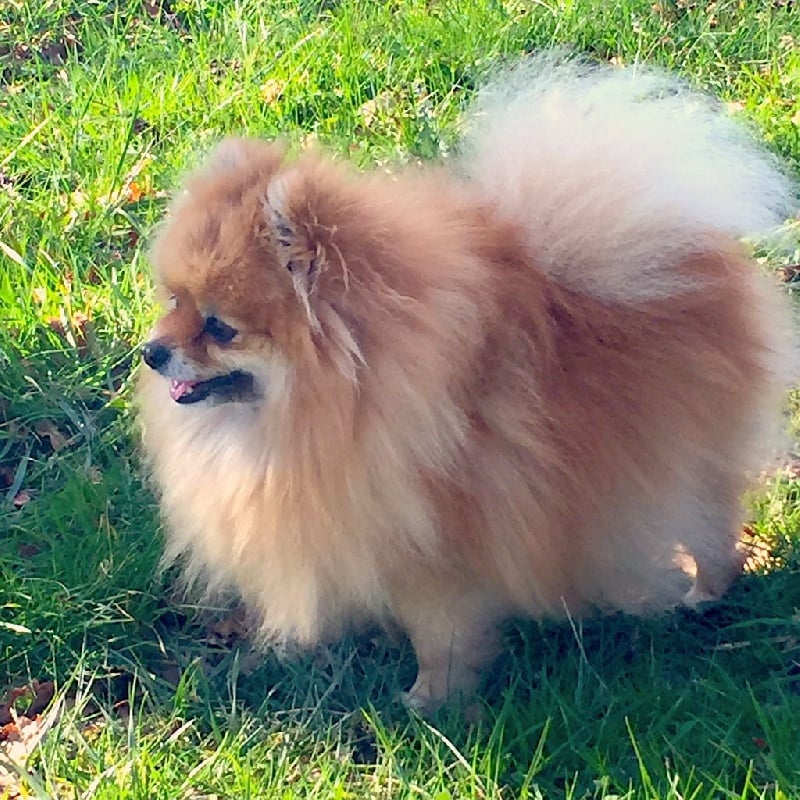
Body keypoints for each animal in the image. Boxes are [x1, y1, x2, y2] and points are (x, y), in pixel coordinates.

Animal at [138, 55, 797, 712]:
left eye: (220, 328)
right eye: (174, 301)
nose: (151, 352)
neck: (324, 406)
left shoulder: (436, 558)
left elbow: (442, 635)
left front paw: (430, 700)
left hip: (689, 454)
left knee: (710, 525)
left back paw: (700, 595)